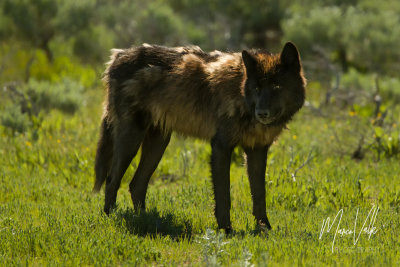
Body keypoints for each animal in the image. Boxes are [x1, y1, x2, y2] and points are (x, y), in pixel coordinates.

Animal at [94, 42, 306, 234]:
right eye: (256, 88)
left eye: (276, 86)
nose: (261, 113)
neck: (241, 92)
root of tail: (118, 56)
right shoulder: (221, 146)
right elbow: (224, 195)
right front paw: (226, 230)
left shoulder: (257, 150)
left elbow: (259, 195)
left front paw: (265, 229)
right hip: (131, 141)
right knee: (112, 180)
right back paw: (111, 218)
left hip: (158, 145)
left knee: (136, 184)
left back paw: (146, 220)